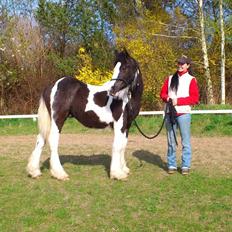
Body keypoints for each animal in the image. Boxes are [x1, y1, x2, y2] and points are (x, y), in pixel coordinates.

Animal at [26, 49, 143, 180]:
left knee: (40, 140)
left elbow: (123, 145)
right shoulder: (119, 124)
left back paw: (34, 171)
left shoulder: (127, 125)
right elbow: (117, 146)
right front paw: (117, 173)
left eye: (125, 67)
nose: (112, 90)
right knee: (53, 140)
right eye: (116, 68)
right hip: (58, 118)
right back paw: (60, 173)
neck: (126, 99)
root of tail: (52, 86)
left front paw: (124, 169)